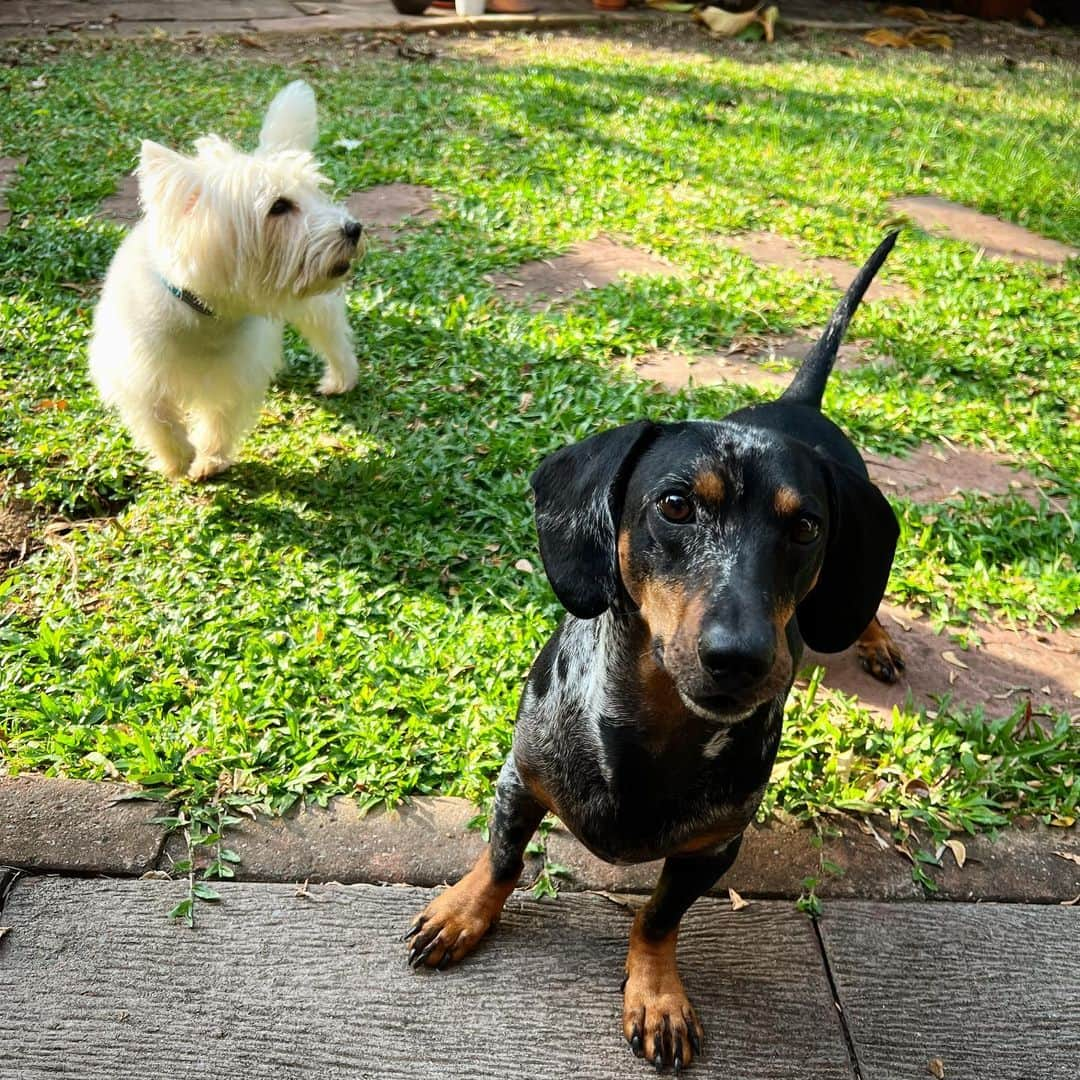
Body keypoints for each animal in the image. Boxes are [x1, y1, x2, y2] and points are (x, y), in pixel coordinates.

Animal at [90, 78, 360, 477]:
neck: (203, 312)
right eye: (279, 206)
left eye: (316, 195)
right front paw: (176, 459)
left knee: (334, 337)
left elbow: (220, 416)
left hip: (316, 306)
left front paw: (209, 459)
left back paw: (340, 378)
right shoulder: (136, 371)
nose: (353, 228)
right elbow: (158, 417)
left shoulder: (232, 375)